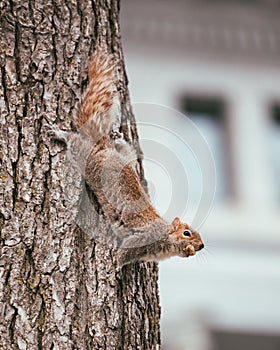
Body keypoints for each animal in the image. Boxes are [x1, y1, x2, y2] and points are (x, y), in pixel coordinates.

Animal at [49, 50, 205, 268]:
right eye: (187, 233)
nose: (201, 246)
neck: (165, 237)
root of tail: (105, 148)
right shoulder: (142, 238)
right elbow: (124, 253)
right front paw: (116, 265)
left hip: (125, 153)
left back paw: (116, 136)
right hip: (87, 161)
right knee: (76, 143)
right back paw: (60, 134)